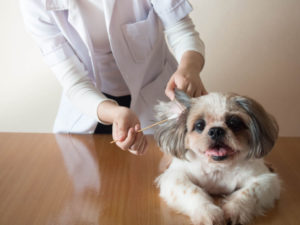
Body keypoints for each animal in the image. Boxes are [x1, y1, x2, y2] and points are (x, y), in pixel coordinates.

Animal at [154, 90, 280, 225]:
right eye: (199, 125)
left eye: (234, 123)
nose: (216, 130)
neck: (218, 167)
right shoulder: (174, 176)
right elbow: (191, 191)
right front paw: (208, 212)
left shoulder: (265, 179)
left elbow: (250, 192)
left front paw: (235, 210)